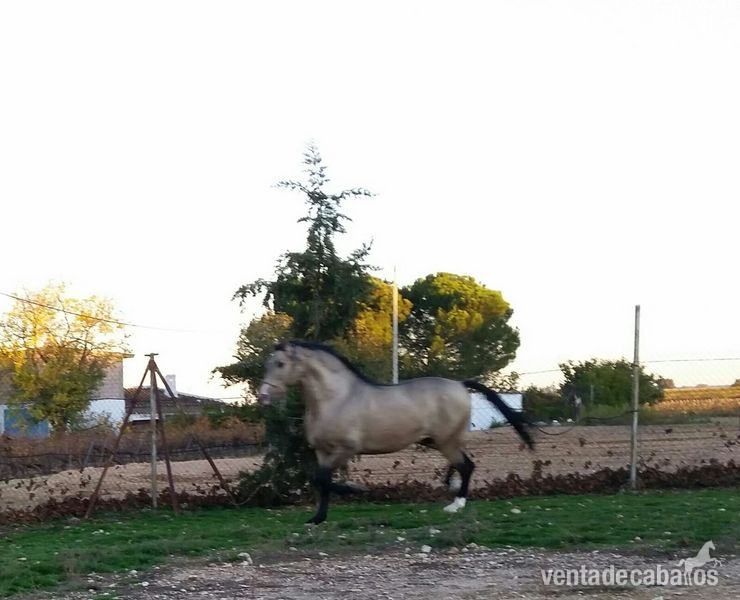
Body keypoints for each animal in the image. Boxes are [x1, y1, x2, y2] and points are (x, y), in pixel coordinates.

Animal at [258, 340, 535, 524]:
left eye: (280, 364)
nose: (263, 396)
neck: (337, 398)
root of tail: (459, 384)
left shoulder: (346, 449)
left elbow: (323, 480)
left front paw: (356, 490)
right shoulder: (322, 452)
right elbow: (321, 481)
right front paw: (317, 518)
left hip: (446, 441)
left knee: (467, 466)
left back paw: (456, 505)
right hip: (437, 441)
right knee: (462, 463)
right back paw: (451, 487)